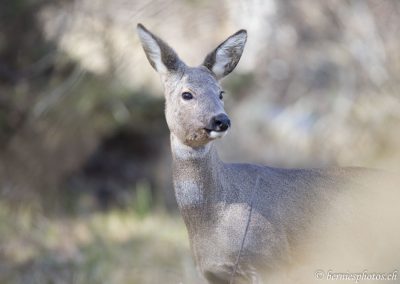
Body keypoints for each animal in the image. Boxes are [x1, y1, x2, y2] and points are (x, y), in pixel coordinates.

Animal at [138, 23, 400, 282]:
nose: (221, 120)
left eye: (221, 93)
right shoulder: (214, 273)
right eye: (187, 94)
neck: (214, 218)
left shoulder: (272, 260)